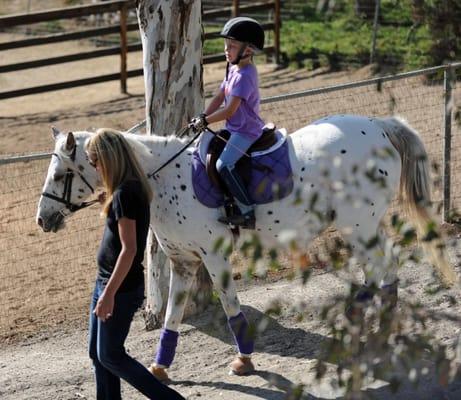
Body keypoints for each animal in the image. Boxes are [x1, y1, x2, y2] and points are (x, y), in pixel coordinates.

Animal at [35, 114, 452, 380]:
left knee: (383, 269)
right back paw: (372, 326)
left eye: (60, 174)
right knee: (382, 270)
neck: (163, 178)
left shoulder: (215, 257)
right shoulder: (183, 263)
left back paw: (372, 327)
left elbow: (231, 308)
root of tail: (379, 127)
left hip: (359, 224)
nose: (42, 219)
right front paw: (160, 367)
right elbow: (171, 317)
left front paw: (244, 361)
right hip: (363, 226)